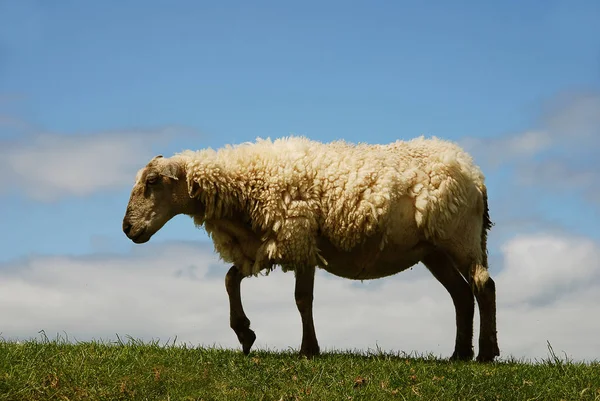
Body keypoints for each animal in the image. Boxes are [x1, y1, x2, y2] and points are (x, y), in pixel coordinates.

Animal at [120, 136, 496, 360]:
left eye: (151, 182)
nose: (126, 229)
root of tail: (473, 173)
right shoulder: (267, 244)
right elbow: (230, 279)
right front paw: (244, 333)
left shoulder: (298, 237)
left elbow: (302, 300)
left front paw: (308, 350)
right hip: (433, 249)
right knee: (462, 295)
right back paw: (460, 355)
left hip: (459, 237)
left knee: (483, 285)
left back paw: (486, 353)